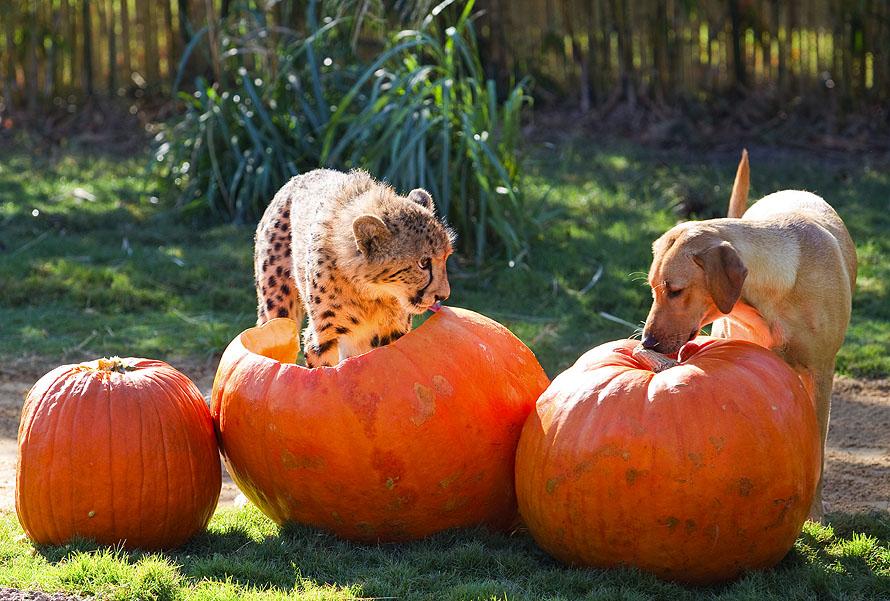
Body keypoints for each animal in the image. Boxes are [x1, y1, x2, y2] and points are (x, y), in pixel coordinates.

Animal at [640, 151, 856, 520]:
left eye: (675, 290)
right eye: (653, 289)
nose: (646, 344)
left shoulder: (822, 374)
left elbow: (818, 448)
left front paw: (814, 513)